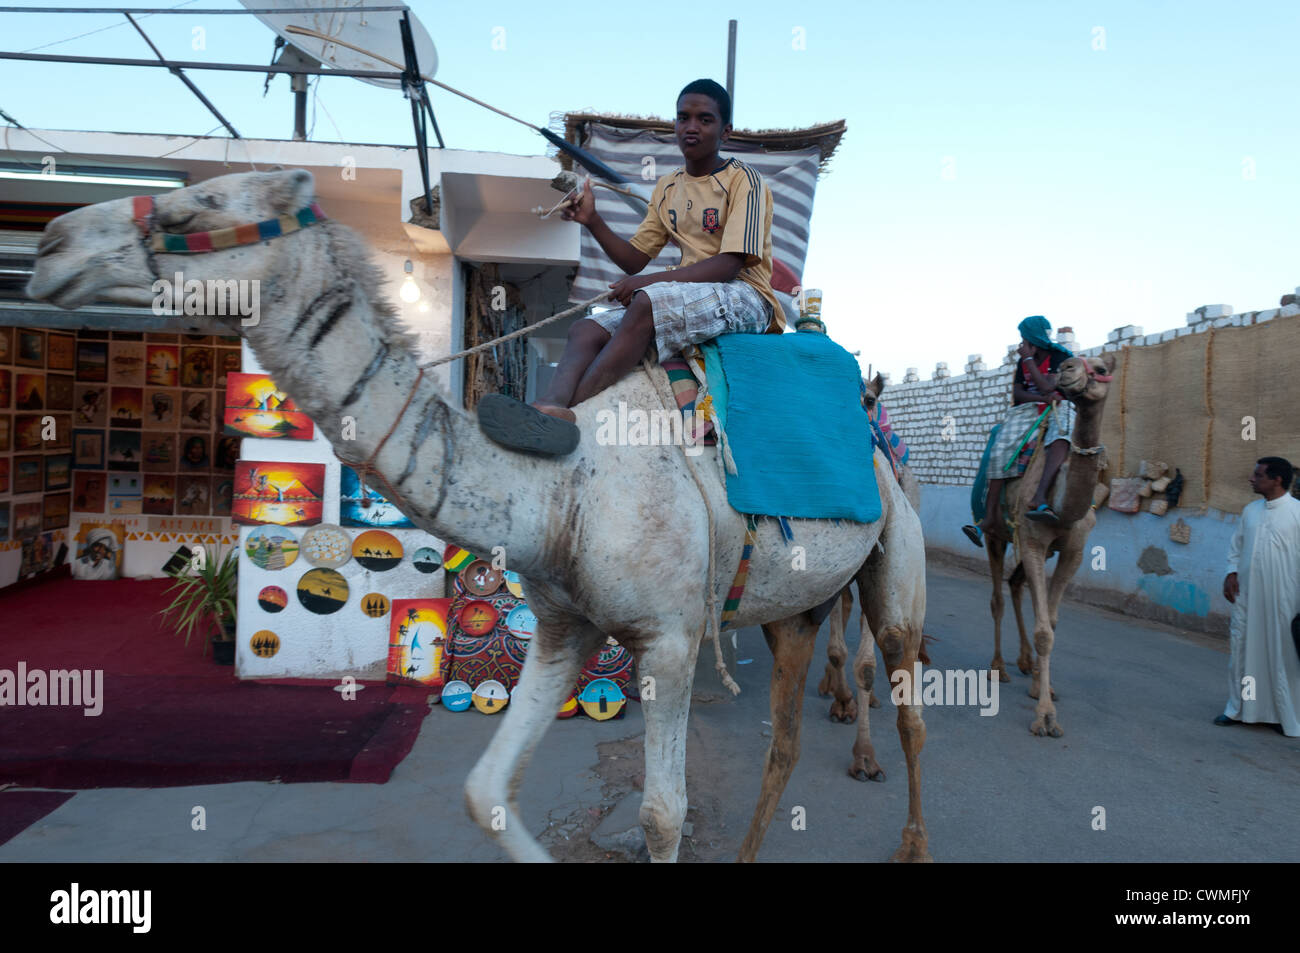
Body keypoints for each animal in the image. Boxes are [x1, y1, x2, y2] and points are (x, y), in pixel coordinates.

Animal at [25, 171, 930, 863]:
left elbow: (661, 814)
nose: (50, 245)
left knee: (904, 696)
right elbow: (483, 790)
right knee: (785, 737)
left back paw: (906, 827)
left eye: (198, 206)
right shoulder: (565, 627)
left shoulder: (669, 639)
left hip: (896, 548)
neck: (559, 489)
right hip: (794, 605)